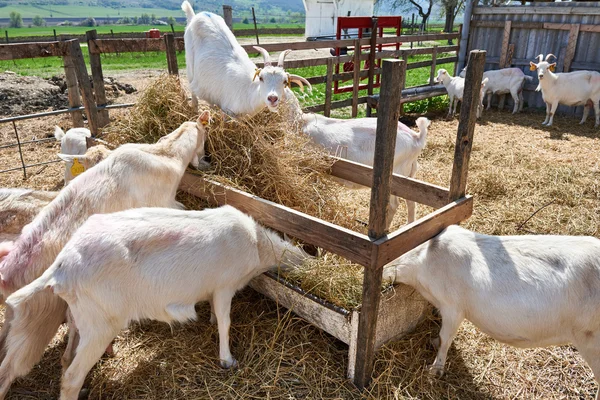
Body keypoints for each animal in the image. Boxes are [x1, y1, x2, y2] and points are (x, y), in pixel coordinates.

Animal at [0, 112, 211, 400]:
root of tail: (8, 272)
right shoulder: (164, 206)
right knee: (10, 369)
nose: (206, 162)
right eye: (205, 136)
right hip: (37, 320)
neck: (164, 156)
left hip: (13, 318)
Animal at [7, 206, 310, 400]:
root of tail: (61, 267)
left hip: (80, 316)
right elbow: (225, 322)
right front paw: (227, 360)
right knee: (71, 377)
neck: (256, 243)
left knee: (67, 358)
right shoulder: (225, 286)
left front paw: (212, 321)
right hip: (101, 324)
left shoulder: (215, 289)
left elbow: (216, 313)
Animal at [182, 1, 310, 116]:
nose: (272, 98)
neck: (249, 90)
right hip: (189, 64)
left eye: (284, 81)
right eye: (261, 78)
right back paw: (195, 108)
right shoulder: (228, 112)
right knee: (192, 88)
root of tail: (198, 15)